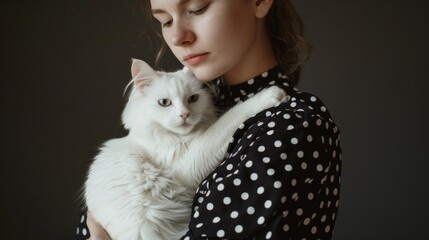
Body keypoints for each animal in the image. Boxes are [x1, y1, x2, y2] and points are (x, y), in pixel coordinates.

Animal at [84, 58, 284, 240]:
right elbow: (232, 116)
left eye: (193, 99)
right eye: (164, 102)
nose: (185, 115)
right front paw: (272, 94)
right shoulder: (189, 162)